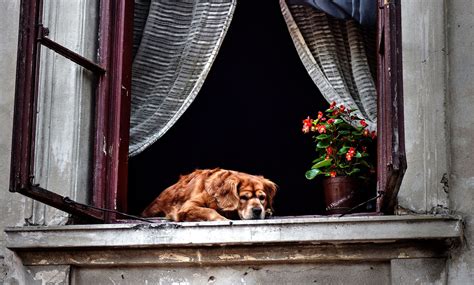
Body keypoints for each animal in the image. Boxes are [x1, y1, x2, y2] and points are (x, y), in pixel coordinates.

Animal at [141, 168, 276, 221]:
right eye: (243, 197)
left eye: (262, 198)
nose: (258, 210)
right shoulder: (188, 207)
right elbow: (209, 210)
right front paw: (222, 219)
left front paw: (267, 211)